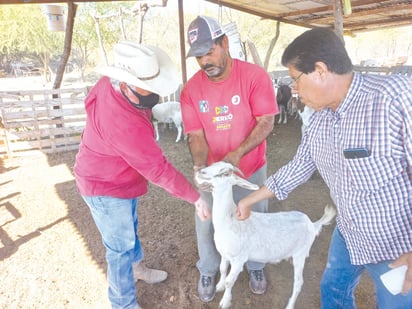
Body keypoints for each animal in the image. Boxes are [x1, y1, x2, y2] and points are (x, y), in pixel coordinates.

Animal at [196, 161, 334, 308]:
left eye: (226, 173)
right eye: (213, 164)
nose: (200, 172)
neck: (229, 220)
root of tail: (312, 224)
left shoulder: (239, 259)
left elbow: (229, 281)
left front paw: (225, 302)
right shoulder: (224, 254)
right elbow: (222, 269)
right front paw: (219, 286)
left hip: (300, 254)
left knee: (298, 284)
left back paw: (290, 305)